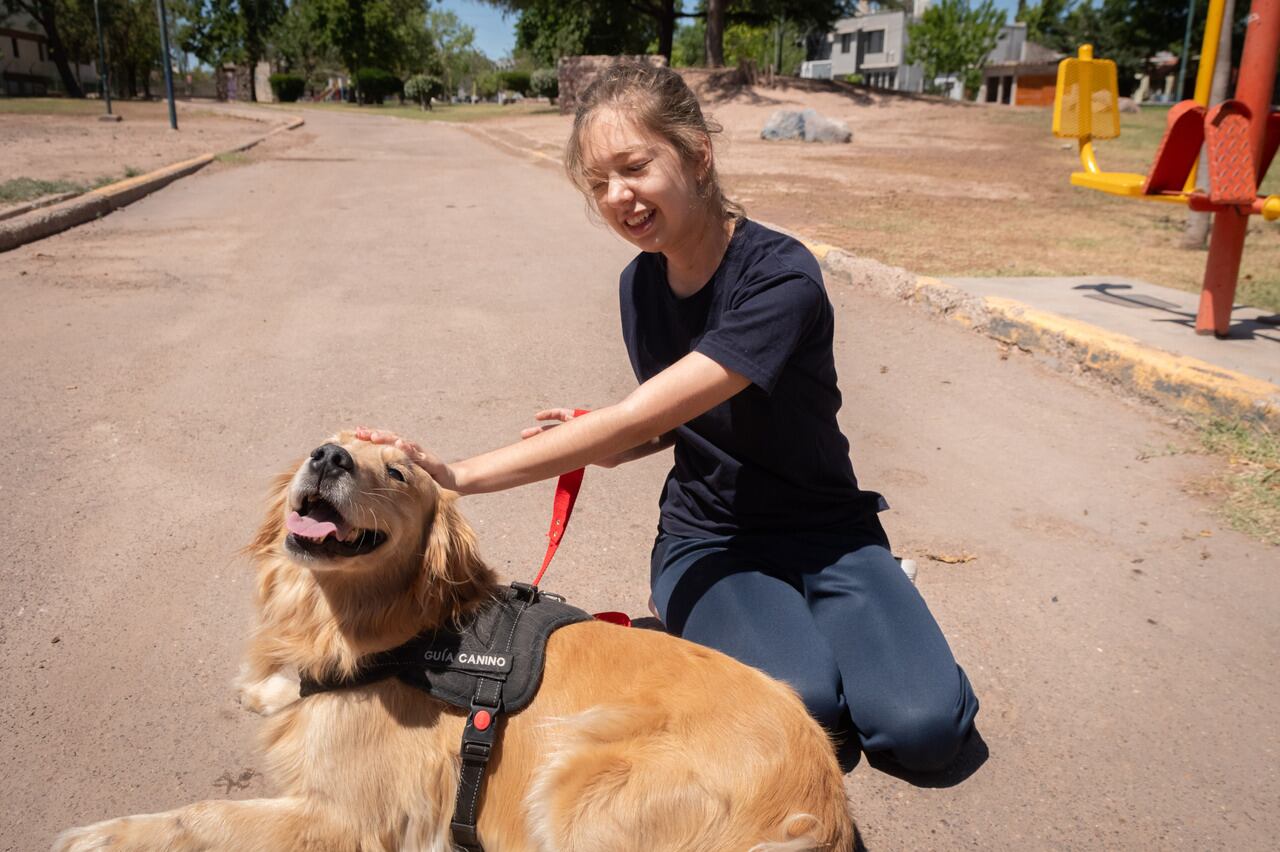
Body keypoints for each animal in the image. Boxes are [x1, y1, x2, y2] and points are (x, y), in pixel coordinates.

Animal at [55, 432, 855, 849]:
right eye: (330, 438)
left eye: (397, 470)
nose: (328, 457)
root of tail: (822, 802)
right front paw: (264, 689)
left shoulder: (348, 816)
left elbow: (201, 814)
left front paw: (101, 836)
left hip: (577, 776)